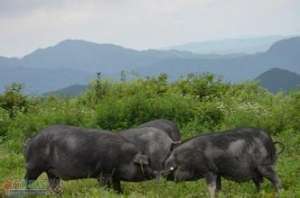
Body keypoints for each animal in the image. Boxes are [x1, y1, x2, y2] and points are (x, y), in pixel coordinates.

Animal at [24, 124, 155, 193]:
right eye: (144, 165)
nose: (155, 172)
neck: (123, 158)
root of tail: (30, 140)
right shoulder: (104, 173)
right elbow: (105, 187)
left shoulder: (114, 175)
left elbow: (118, 187)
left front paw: (120, 193)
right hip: (33, 166)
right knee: (27, 180)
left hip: (52, 172)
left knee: (53, 185)